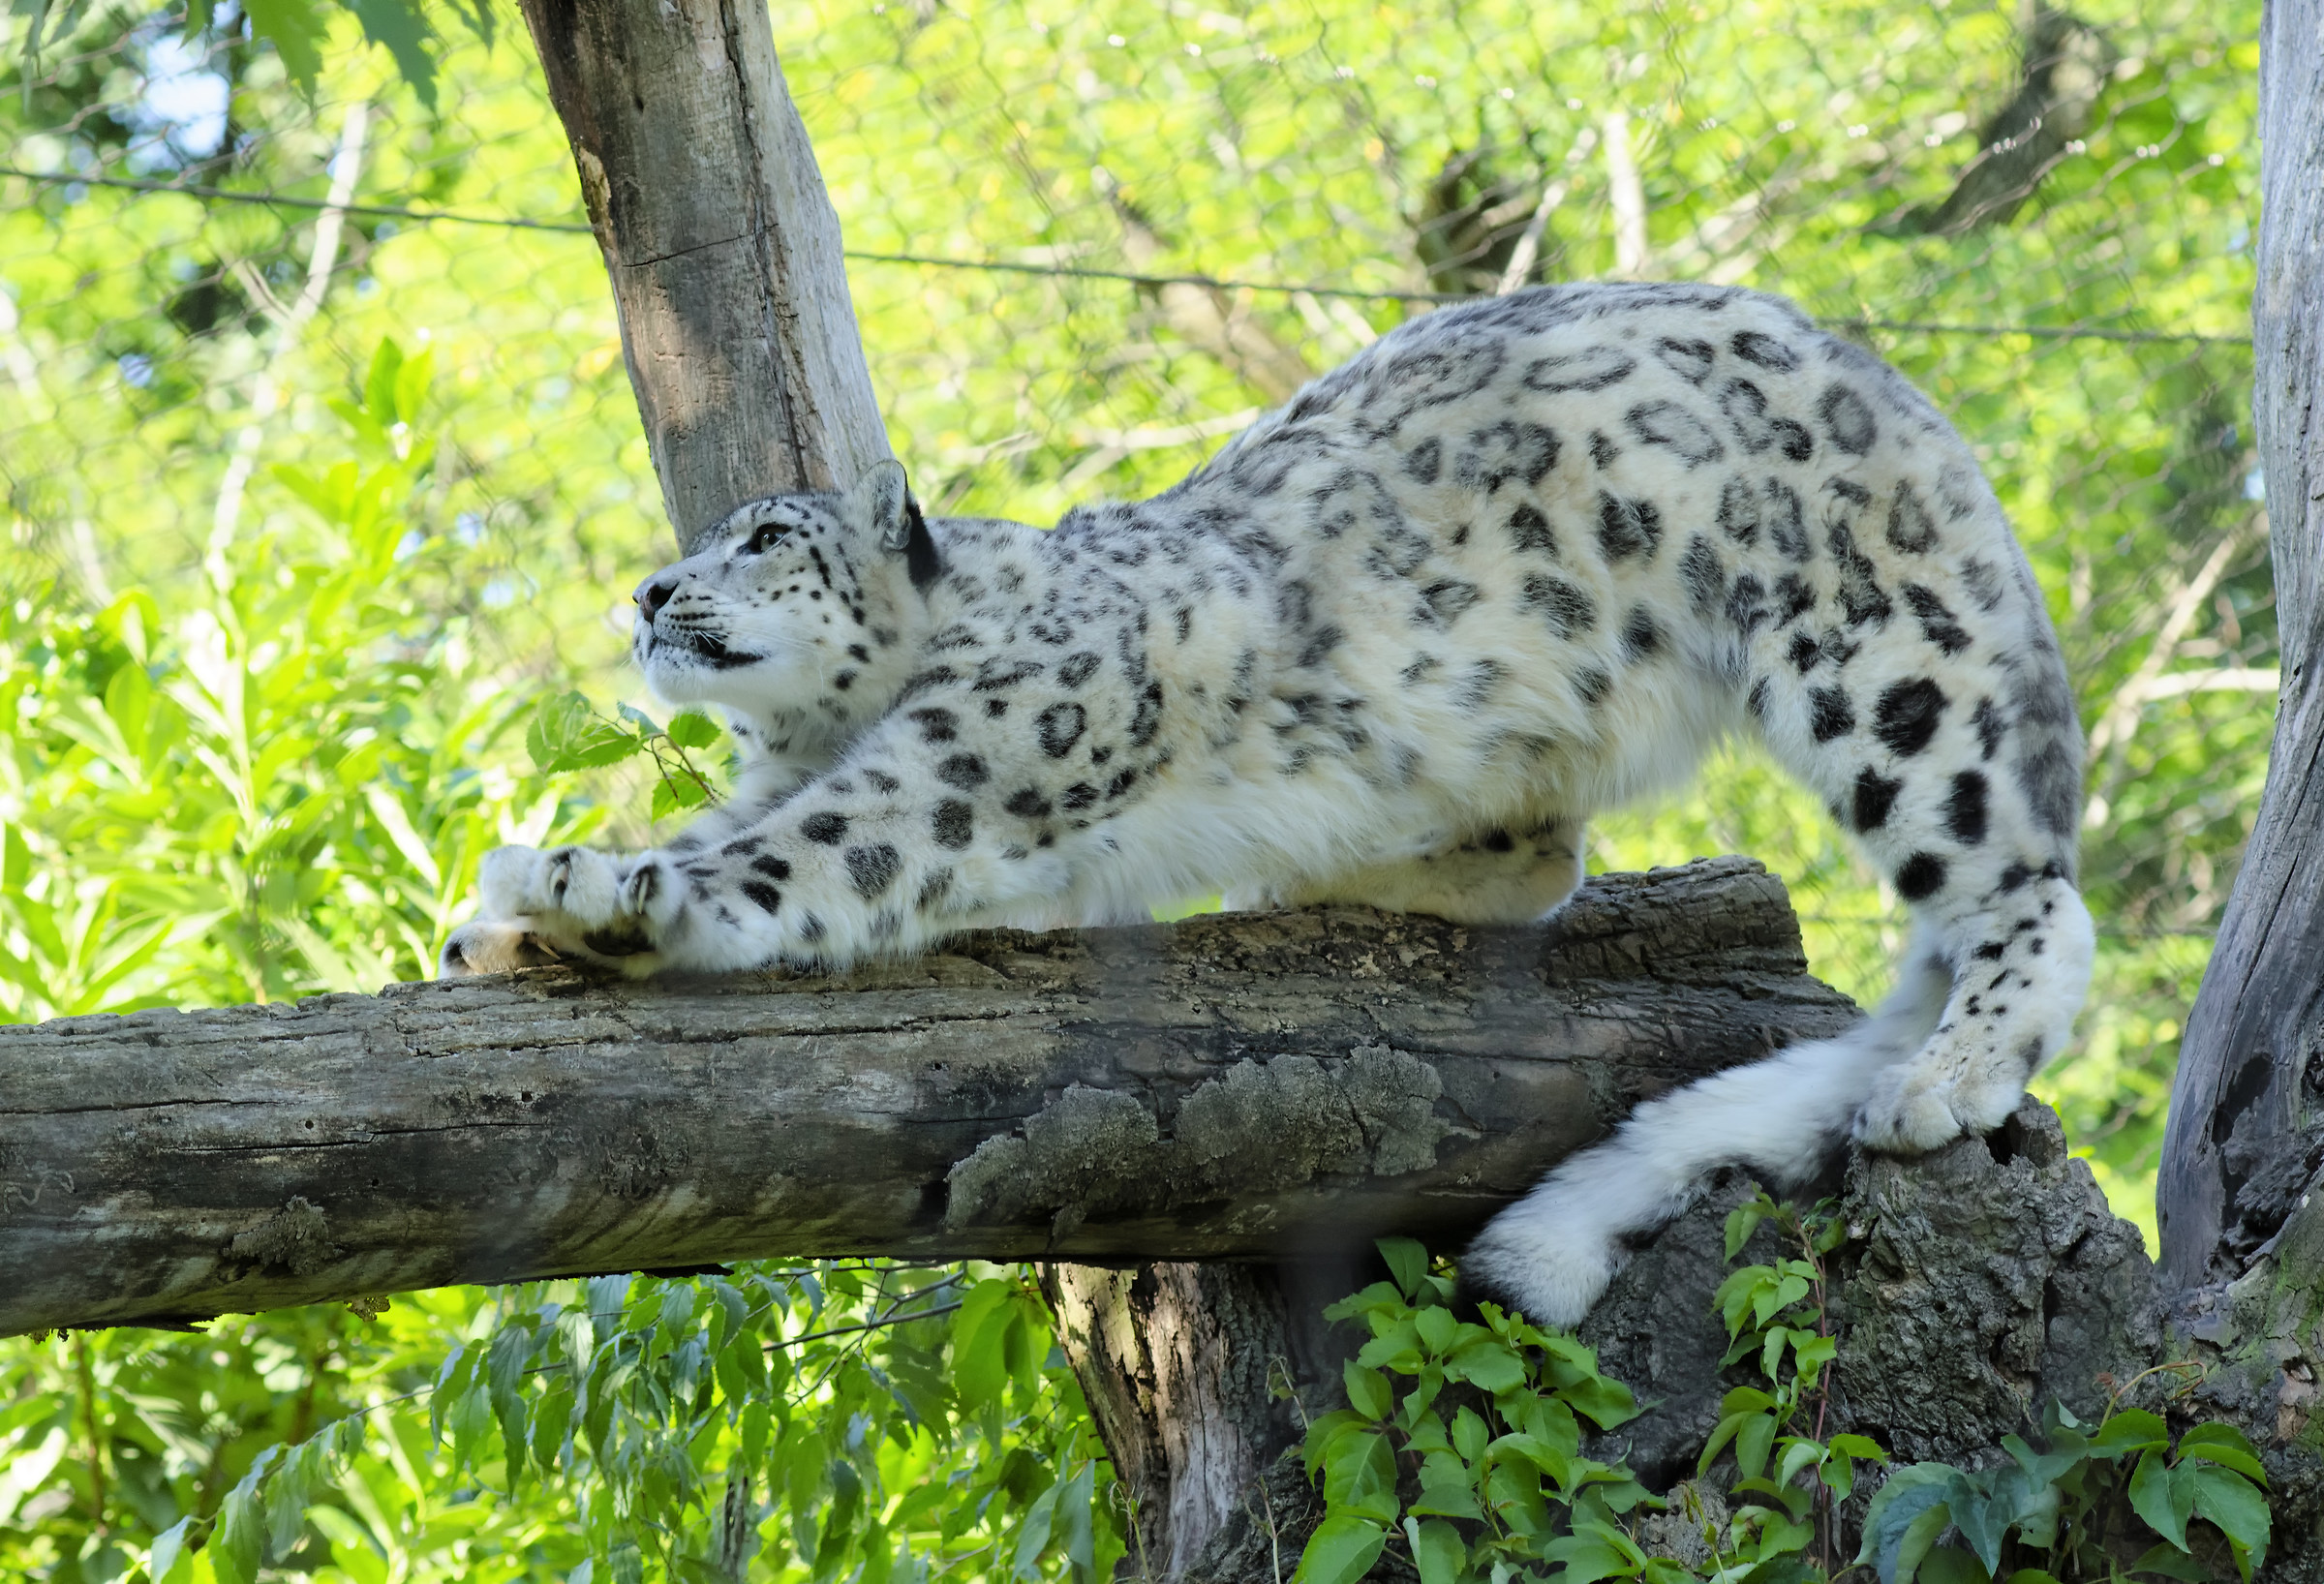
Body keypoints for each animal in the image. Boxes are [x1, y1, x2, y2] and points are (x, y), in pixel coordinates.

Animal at [439, 281, 2093, 1329]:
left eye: (767, 538)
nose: (649, 592)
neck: (844, 715)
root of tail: (1891, 381)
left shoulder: (969, 757)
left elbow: (808, 851)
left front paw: (593, 894)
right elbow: (728, 826)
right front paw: (492, 930)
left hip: (1884, 661)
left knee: (2026, 887)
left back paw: (1947, 1074)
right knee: (1546, 855)